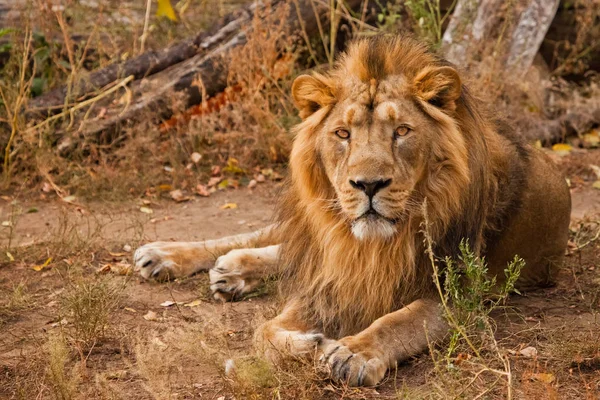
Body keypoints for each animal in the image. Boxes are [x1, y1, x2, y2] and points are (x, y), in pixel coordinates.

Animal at [135, 36, 572, 386]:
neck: (373, 246)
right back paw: (168, 255)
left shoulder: (457, 291)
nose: (368, 185)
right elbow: (264, 332)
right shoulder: (330, 276)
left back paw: (230, 271)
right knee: (270, 239)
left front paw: (353, 353)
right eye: (342, 134)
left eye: (402, 132)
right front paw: (312, 344)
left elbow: (401, 321)